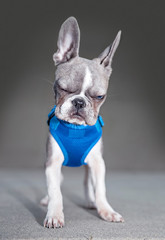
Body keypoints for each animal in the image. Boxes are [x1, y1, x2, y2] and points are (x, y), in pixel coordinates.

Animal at [41, 16, 124, 227]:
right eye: (63, 88)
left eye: (100, 97)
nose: (79, 102)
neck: (75, 128)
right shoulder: (53, 163)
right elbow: (55, 191)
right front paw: (54, 215)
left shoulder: (97, 163)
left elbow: (100, 189)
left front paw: (106, 211)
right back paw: (46, 200)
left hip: (89, 165)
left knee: (87, 183)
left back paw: (90, 201)